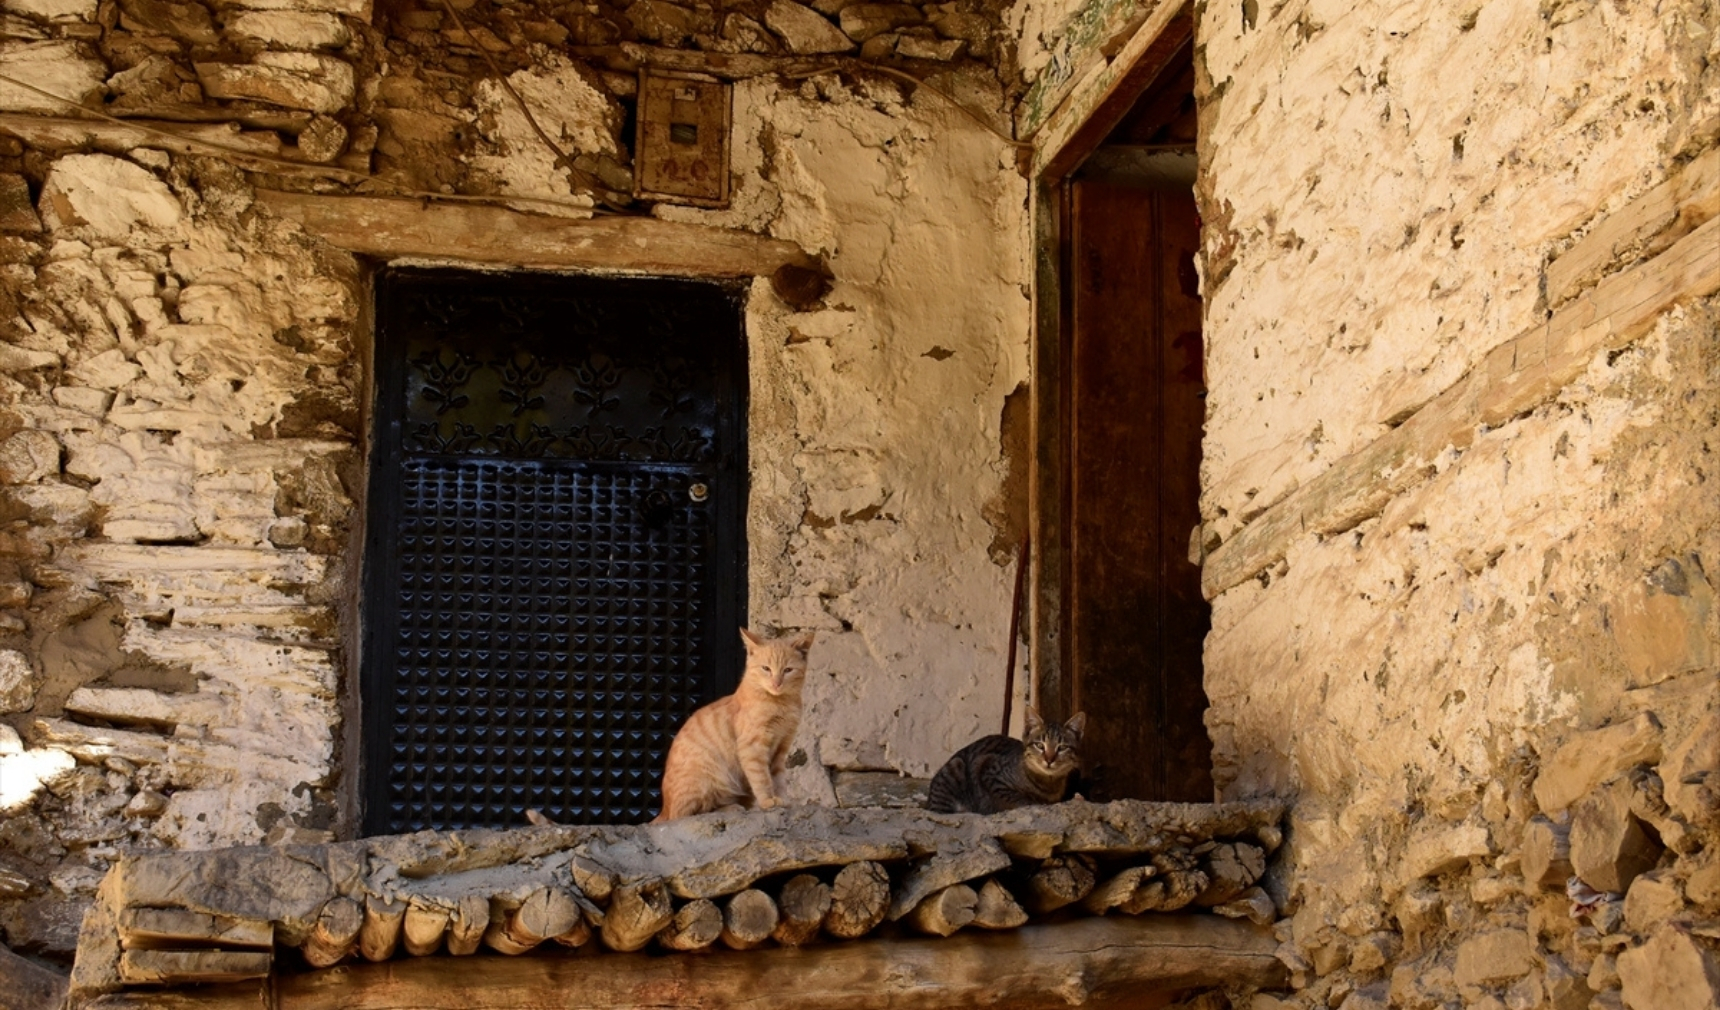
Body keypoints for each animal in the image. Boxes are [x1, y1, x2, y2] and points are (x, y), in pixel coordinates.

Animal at [657, 633, 818, 822]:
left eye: (788, 670)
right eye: (766, 668)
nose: (776, 683)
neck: (781, 704)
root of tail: (665, 809)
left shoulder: (781, 748)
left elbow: (778, 778)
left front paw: (781, 798)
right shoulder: (752, 747)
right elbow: (762, 777)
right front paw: (767, 800)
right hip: (707, 781)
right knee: (692, 813)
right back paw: (732, 808)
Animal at [928, 708, 1087, 819]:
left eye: (1062, 747)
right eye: (1039, 745)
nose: (1049, 760)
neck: (1048, 783)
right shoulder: (988, 771)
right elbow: (1021, 799)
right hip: (955, 767)